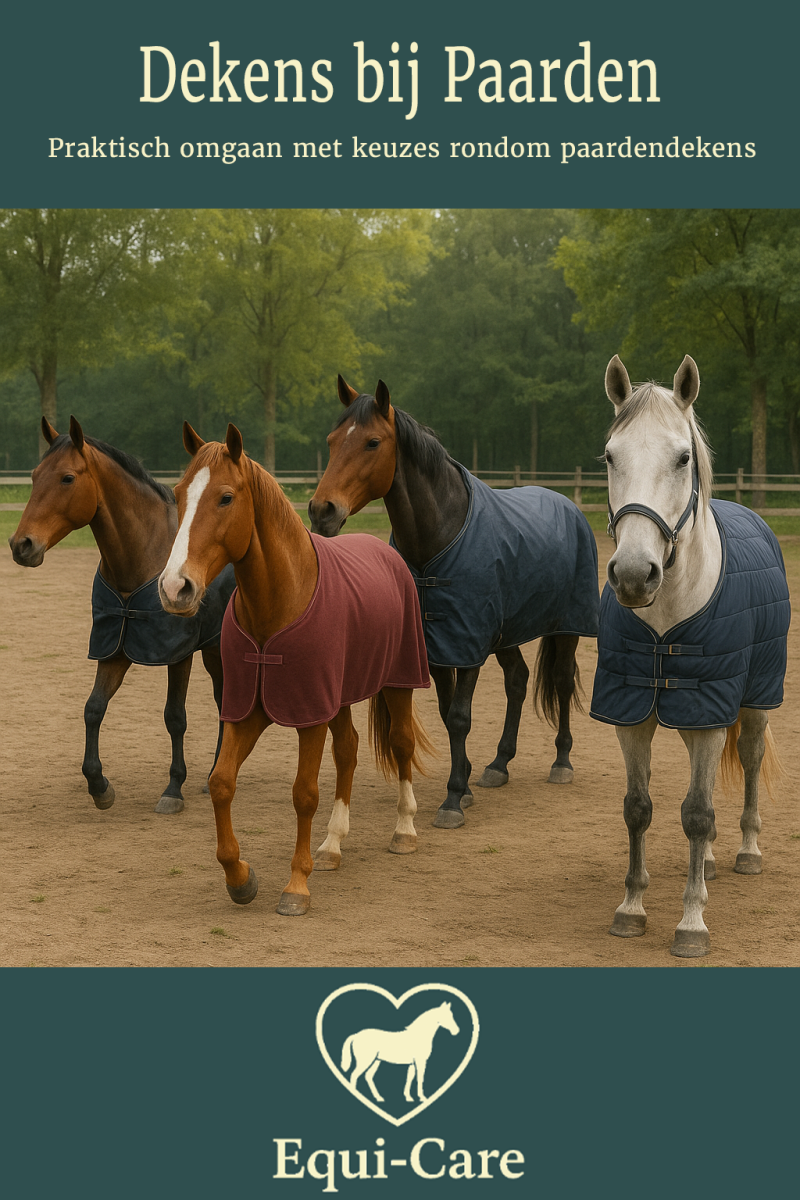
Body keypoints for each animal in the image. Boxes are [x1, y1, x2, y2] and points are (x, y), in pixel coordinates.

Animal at [8, 417, 234, 813]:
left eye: (67, 478)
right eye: (34, 476)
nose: (22, 545)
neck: (145, 553)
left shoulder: (179, 655)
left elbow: (175, 717)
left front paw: (173, 789)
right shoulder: (115, 648)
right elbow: (93, 708)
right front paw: (99, 785)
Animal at [158, 422, 431, 915]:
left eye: (226, 498)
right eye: (179, 493)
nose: (175, 588)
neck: (278, 602)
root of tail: (387, 553)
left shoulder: (309, 717)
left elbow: (304, 794)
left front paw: (296, 886)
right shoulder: (250, 711)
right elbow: (222, 783)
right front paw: (240, 878)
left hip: (398, 681)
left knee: (400, 744)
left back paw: (404, 830)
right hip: (337, 700)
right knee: (349, 750)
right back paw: (332, 845)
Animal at [309, 377, 600, 829]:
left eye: (373, 442)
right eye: (332, 440)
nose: (322, 510)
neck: (439, 536)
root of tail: (569, 505)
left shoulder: (467, 644)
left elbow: (461, 716)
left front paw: (452, 800)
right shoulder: (440, 646)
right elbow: (449, 715)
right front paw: (463, 785)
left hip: (567, 626)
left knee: (564, 679)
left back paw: (562, 762)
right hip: (505, 633)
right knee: (517, 681)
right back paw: (499, 764)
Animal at [594, 355, 790, 958]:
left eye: (683, 457)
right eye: (610, 456)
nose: (635, 575)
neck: (664, 623)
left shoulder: (712, 710)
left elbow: (698, 814)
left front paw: (691, 922)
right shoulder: (633, 714)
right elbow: (639, 807)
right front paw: (631, 907)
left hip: (753, 703)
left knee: (748, 759)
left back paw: (746, 850)